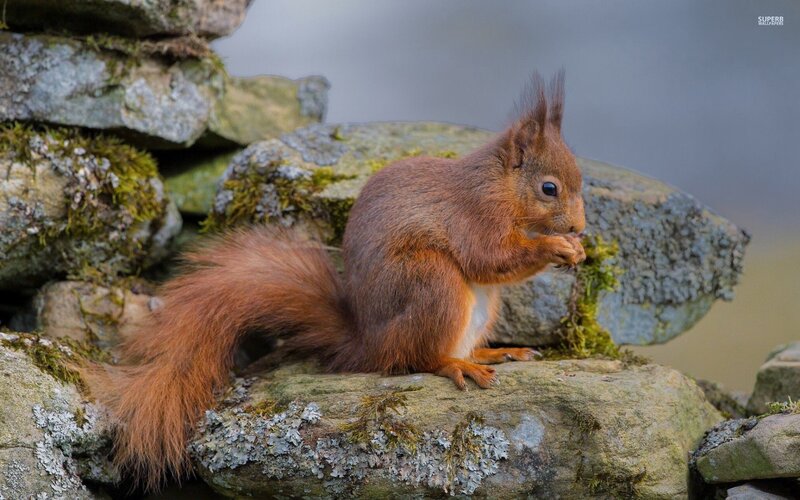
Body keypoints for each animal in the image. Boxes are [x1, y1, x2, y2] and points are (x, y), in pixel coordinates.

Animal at [86, 71, 587, 490]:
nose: (580, 229)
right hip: (433, 282)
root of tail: (368, 342)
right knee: (418, 358)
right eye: (549, 188)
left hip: (480, 306)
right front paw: (554, 248)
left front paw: (574, 250)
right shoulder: (473, 217)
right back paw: (455, 365)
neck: (500, 187)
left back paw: (495, 352)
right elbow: (488, 258)